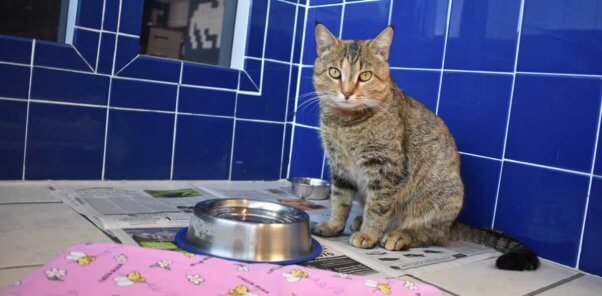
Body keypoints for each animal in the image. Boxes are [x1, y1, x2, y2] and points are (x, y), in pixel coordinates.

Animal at [312, 24, 536, 270]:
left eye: (365, 76)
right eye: (334, 73)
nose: (347, 92)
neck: (344, 123)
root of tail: (453, 223)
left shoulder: (384, 168)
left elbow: (377, 206)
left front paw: (369, 234)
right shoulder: (340, 166)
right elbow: (340, 200)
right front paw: (333, 225)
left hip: (444, 195)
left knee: (431, 234)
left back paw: (399, 234)